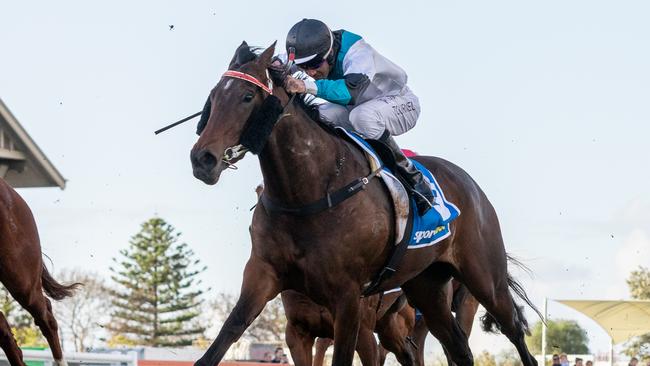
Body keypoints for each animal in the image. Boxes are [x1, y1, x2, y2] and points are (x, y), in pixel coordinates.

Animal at [190, 40, 540, 366]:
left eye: (248, 96)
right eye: (213, 97)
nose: (202, 159)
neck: (307, 194)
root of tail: (471, 186)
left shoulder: (348, 300)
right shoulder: (264, 277)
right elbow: (224, 337)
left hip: (484, 279)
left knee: (514, 333)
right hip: (427, 287)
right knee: (458, 348)